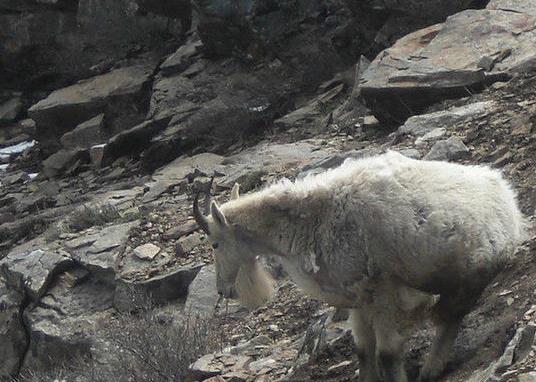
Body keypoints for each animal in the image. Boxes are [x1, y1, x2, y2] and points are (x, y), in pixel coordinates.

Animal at [192, 151, 524, 382]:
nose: (224, 290)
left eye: (215, 244)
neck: (312, 219)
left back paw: (432, 368)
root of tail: (507, 198)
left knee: (450, 318)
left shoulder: (385, 290)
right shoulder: (359, 297)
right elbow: (363, 351)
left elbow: (388, 353)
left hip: (469, 276)